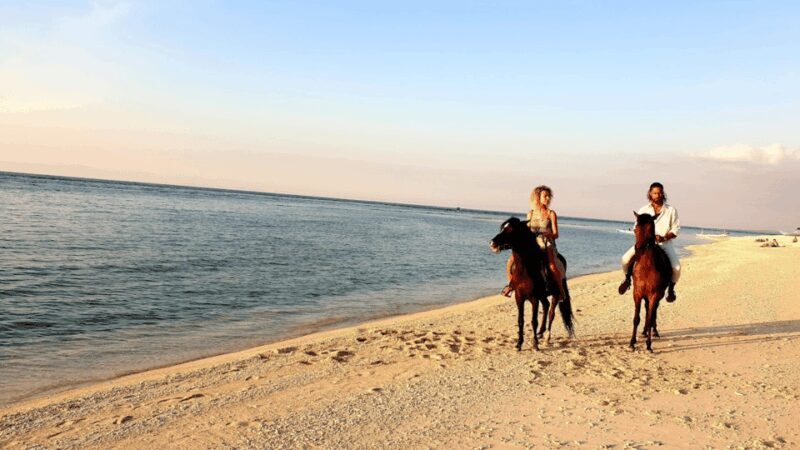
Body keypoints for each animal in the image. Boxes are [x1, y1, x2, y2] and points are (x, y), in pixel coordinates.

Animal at [490, 217, 575, 351]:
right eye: (503, 228)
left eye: (510, 230)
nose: (492, 243)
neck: (525, 269)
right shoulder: (519, 297)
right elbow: (520, 320)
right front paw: (519, 343)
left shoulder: (534, 298)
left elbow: (534, 320)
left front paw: (535, 344)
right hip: (542, 295)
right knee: (546, 305)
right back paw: (540, 332)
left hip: (555, 294)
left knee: (551, 313)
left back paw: (546, 338)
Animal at [629, 212, 673, 352]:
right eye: (636, 229)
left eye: (650, 230)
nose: (638, 250)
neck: (646, 267)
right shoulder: (637, 293)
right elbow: (636, 318)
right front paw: (632, 342)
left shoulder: (654, 295)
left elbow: (650, 317)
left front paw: (648, 345)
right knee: (648, 310)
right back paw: (644, 332)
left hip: (658, 295)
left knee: (653, 314)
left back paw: (654, 332)